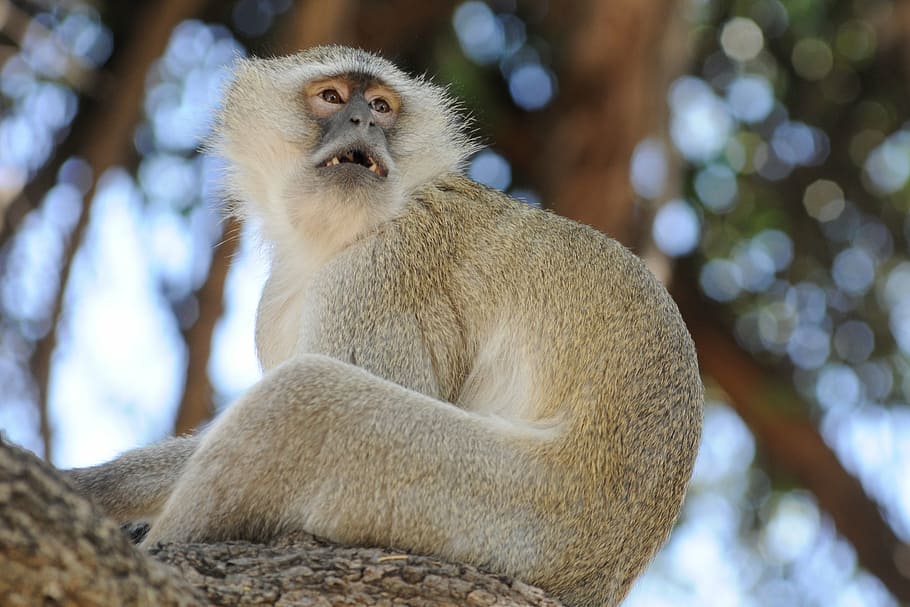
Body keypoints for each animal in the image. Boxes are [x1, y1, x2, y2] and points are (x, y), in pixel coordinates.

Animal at [66, 45, 703, 607]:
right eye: (331, 97)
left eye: (380, 106)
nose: (361, 122)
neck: (333, 240)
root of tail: (599, 577)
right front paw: (93, 488)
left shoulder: (375, 277)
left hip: (511, 511)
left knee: (303, 402)